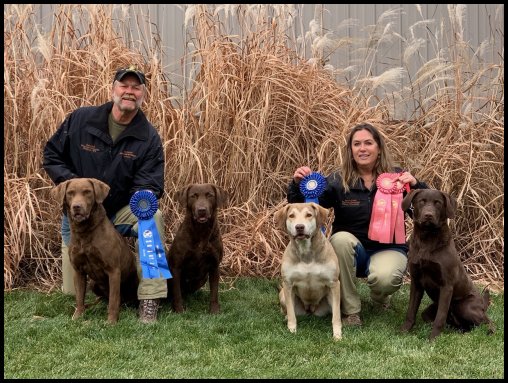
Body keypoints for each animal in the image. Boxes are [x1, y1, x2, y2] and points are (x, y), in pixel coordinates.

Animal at [50, 179, 138, 324]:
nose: (77, 206)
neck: (85, 232)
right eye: (70, 193)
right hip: (93, 283)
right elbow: (79, 297)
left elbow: (114, 299)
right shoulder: (78, 271)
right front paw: (78, 316)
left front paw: (111, 321)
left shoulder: (114, 271)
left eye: (87, 192)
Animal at [167, 184, 228, 316]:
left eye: (210, 195)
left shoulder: (215, 266)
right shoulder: (176, 267)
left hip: (203, 279)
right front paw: (179, 310)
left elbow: (214, 292)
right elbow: (177, 293)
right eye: (193, 196)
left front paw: (214, 311)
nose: (202, 210)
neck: (201, 231)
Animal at [274, 202, 342, 340]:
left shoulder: (334, 284)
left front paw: (337, 334)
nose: (299, 227)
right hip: (283, 294)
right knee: (286, 310)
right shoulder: (288, 285)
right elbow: (291, 313)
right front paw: (292, 329)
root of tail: (310, 309)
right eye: (291, 216)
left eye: (309, 215)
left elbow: (336, 315)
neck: (306, 252)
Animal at [398, 188, 494, 340]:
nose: (428, 215)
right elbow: (411, 311)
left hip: (464, 306)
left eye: (438, 203)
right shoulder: (416, 282)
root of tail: (483, 305)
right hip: (431, 311)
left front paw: (433, 339)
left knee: (487, 321)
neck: (427, 239)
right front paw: (404, 331)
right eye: (422, 201)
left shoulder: (446, 286)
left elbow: (440, 318)